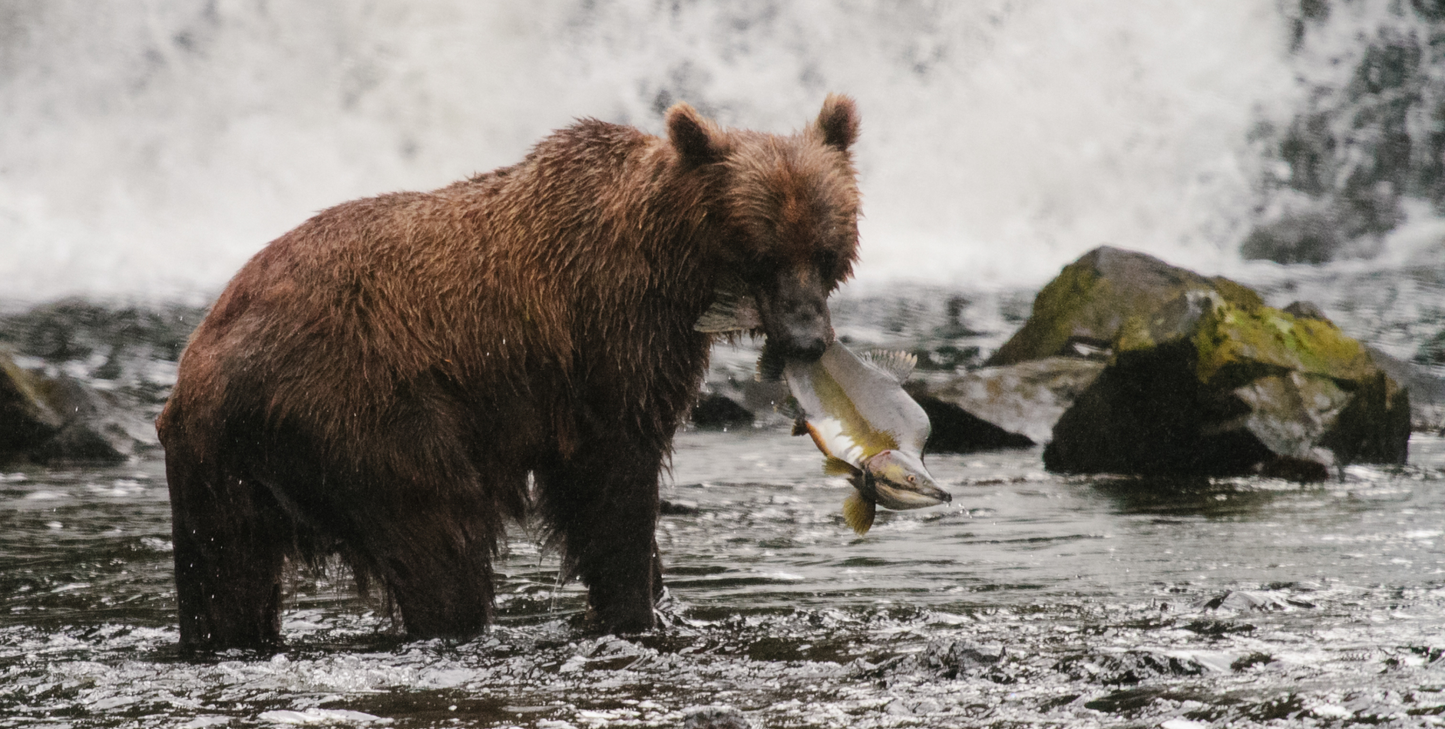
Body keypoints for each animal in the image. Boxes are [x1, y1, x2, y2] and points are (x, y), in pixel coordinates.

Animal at [155, 94, 855, 645]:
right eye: (763, 254)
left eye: (826, 250)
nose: (807, 338)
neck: (675, 267)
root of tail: (203, 367)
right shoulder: (609, 337)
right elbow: (612, 484)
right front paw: (636, 608)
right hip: (359, 406)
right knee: (442, 538)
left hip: (217, 480)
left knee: (225, 586)